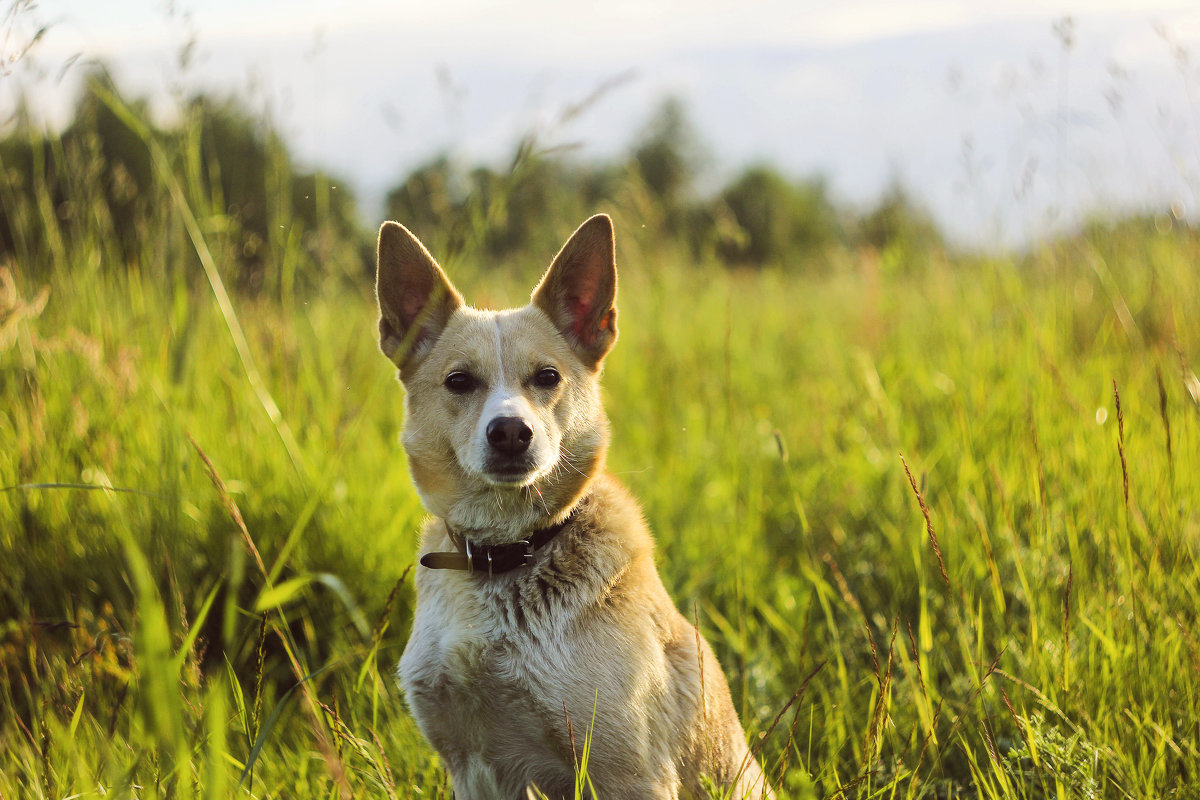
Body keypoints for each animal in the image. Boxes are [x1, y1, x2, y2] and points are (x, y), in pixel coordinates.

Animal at [376, 212, 777, 800]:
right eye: (458, 381)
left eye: (547, 377)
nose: (510, 432)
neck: (506, 554)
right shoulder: (473, 765)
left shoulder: (629, 772)